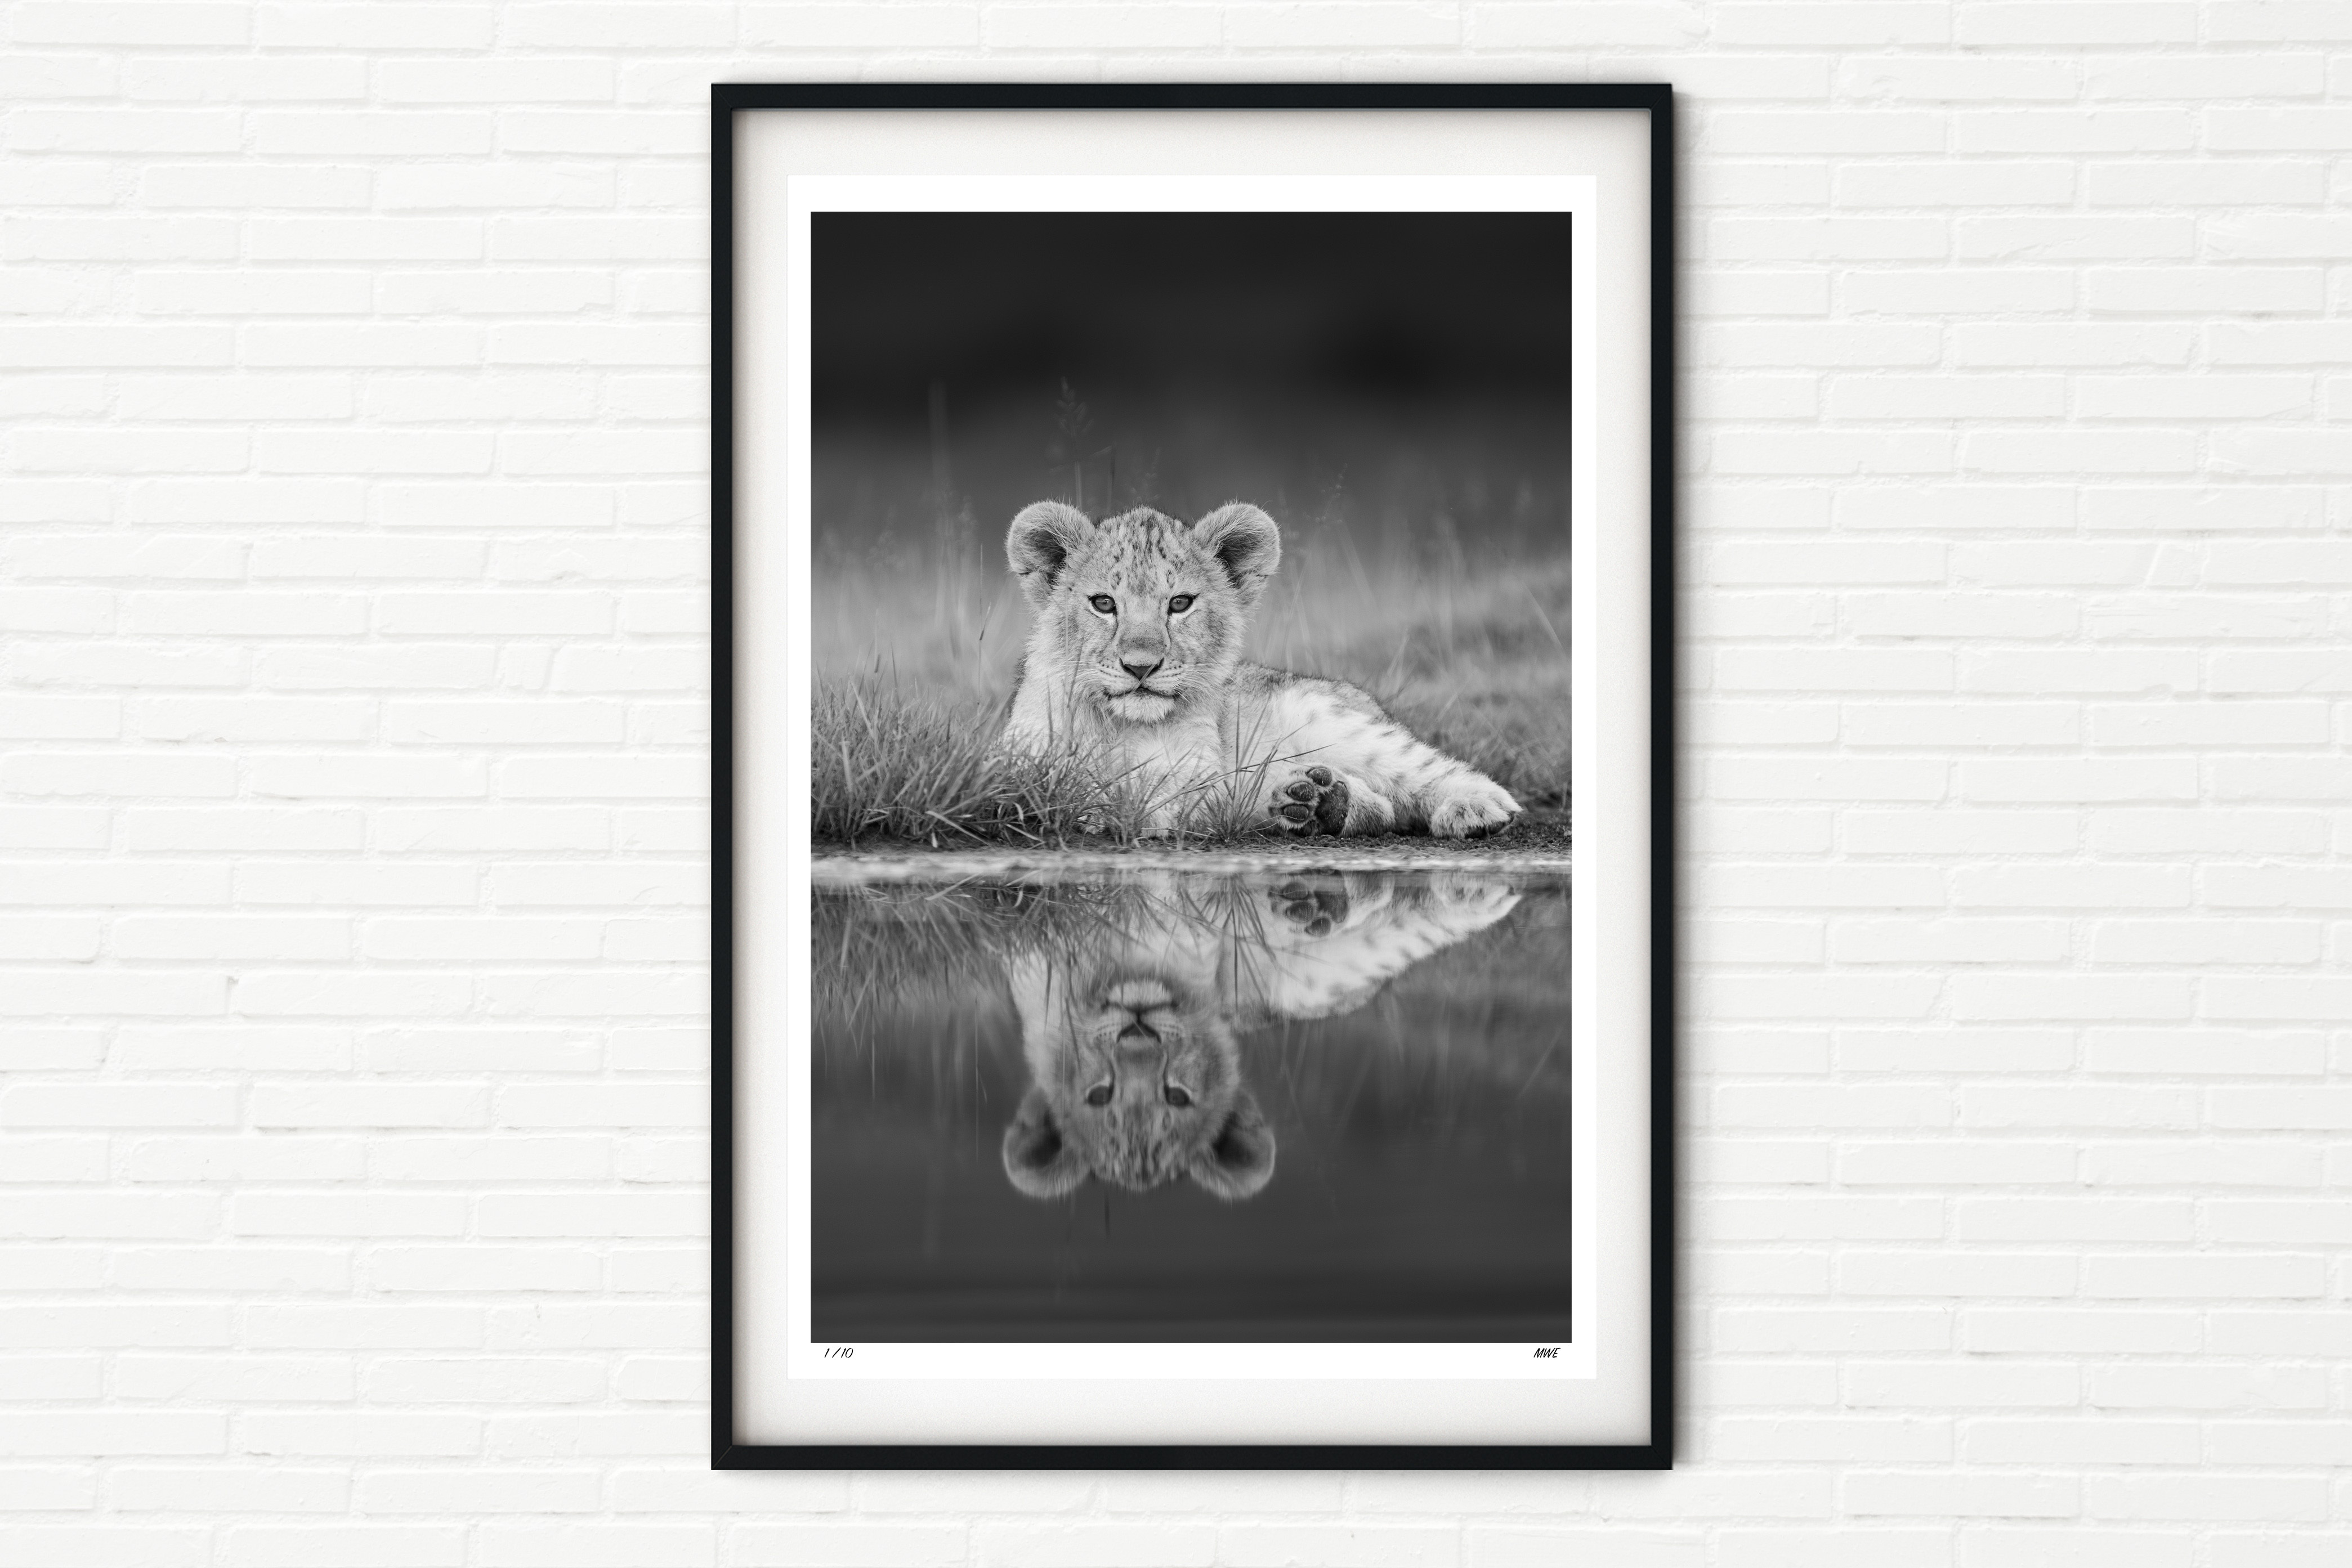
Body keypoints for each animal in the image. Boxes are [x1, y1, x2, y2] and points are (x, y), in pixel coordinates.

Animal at [997, 501, 1524, 838]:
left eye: (1180, 603)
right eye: (1104, 603)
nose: (1140, 667)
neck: (1123, 726)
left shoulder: (1199, 774)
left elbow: (1170, 794)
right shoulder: (1017, 766)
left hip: (1330, 717)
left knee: (1422, 772)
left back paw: (1475, 808)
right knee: (1382, 808)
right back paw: (1318, 800)